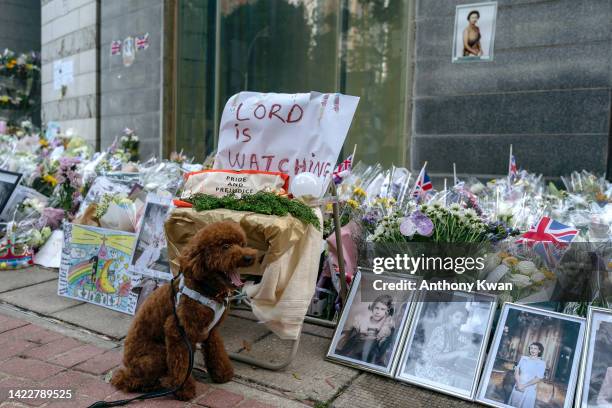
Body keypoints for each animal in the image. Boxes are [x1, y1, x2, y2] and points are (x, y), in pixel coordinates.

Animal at [111, 222, 256, 400]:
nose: (248, 257)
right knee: (130, 380)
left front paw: (223, 374)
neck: (206, 290)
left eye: (242, 244)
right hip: (157, 355)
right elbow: (180, 365)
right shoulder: (177, 331)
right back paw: (157, 384)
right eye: (225, 246)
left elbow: (216, 351)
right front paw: (184, 389)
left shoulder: (211, 331)